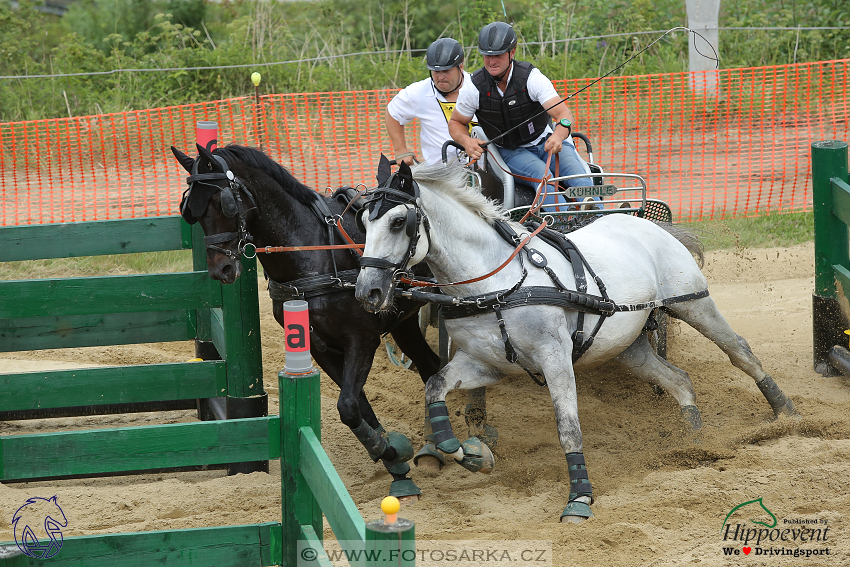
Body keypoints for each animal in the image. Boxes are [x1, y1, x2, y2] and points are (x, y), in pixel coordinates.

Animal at [169, 144, 480, 500]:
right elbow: (358, 407)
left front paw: (392, 452)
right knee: (429, 366)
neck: (311, 253)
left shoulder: (361, 339)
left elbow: (348, 405)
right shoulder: (320, 347)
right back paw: (433, 445)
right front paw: (394, 460)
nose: (220, 270)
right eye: (191, 212)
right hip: (403, 322)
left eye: (223, 203)